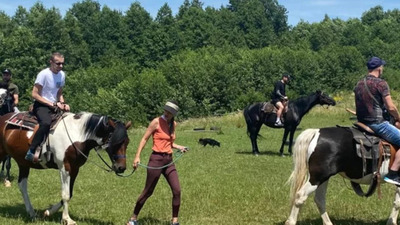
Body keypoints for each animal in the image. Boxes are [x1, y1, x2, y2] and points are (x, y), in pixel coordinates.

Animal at [0, 111, 132, 224]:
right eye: (116, 142)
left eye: (127, 142)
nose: (121, 168)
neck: (77, 135)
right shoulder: (65, 168)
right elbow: (65, 194)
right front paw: (67, 219)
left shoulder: (75, 168)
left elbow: (70, 193)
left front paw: (48, 212)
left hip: (23, 163)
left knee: (22, 185)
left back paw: (32, 213)